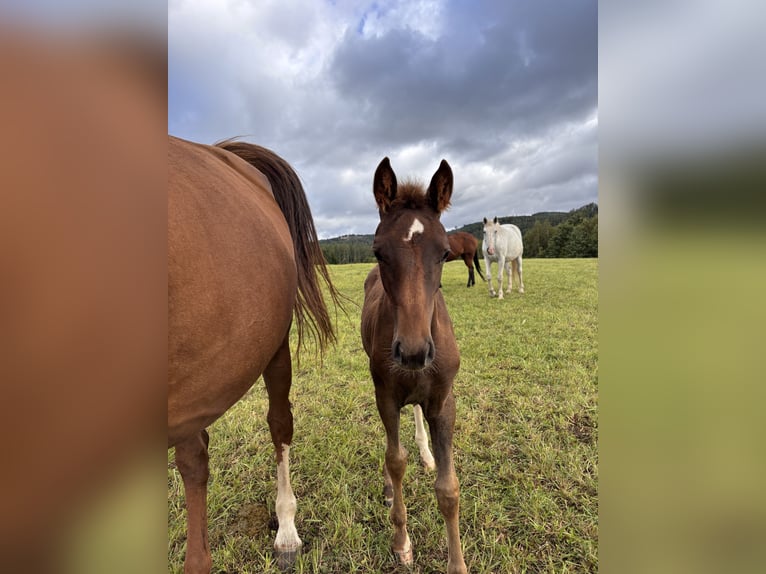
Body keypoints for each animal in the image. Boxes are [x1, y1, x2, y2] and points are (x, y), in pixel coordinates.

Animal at [361, 158, 468, 574]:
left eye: (444, 253)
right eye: (378, 252)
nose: (412, 352)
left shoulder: (443, 401)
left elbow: (449, 489)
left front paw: (458, 564)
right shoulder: (386, 396)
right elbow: (395, 460)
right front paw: (402, 543)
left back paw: (425, 453)